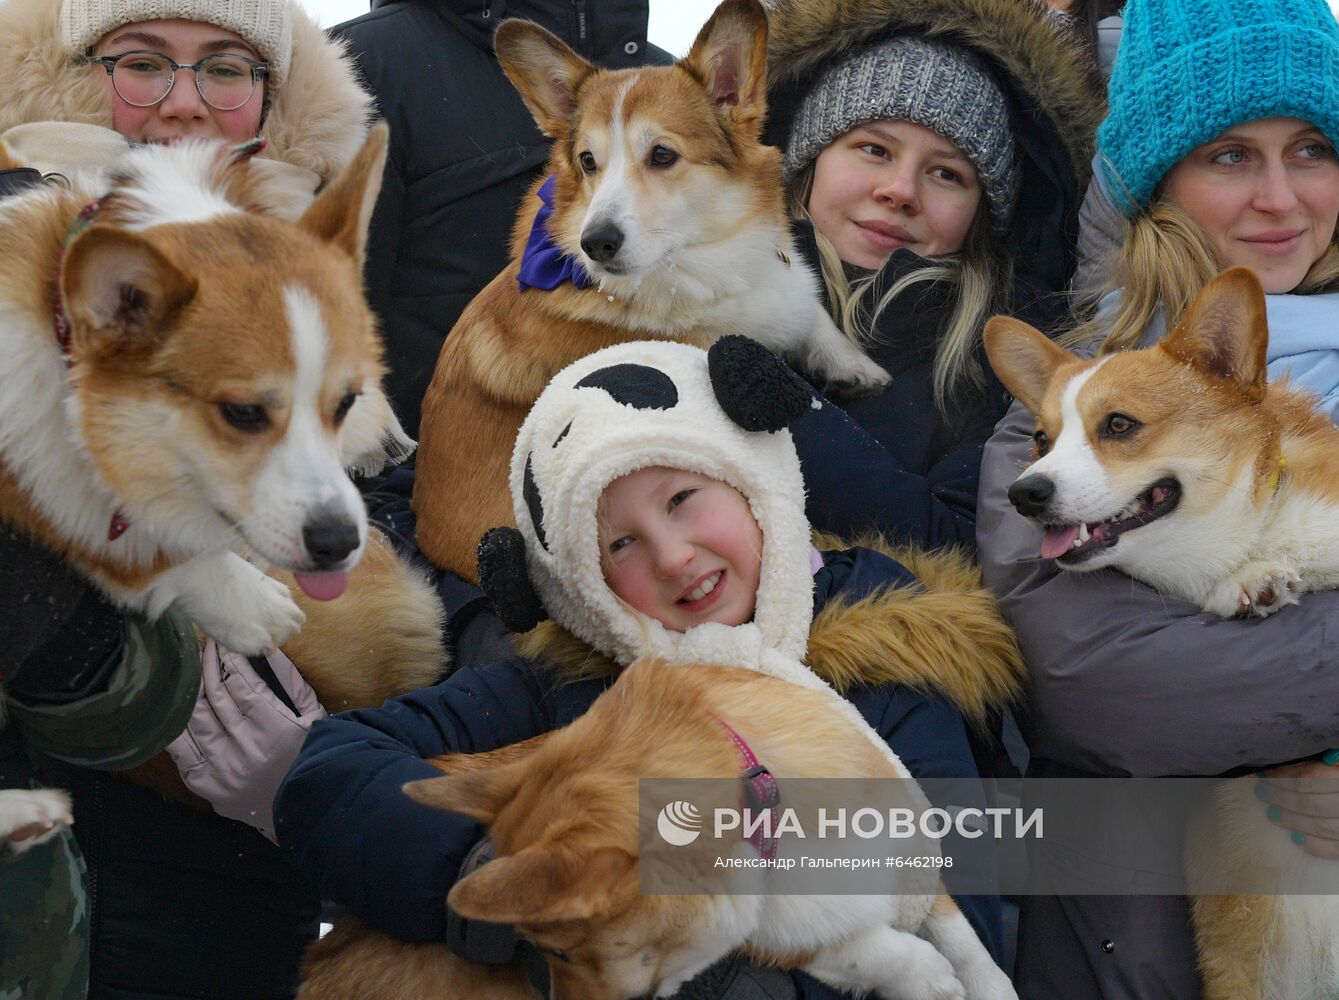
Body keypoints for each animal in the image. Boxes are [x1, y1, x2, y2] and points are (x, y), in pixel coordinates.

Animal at [396, 655, 1012, 1000]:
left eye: (561, 955)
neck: (767, 816)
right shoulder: (784, 940)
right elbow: (869, 953)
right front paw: (927, 979)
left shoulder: (919, 872)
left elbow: (966, 942)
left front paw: (988, 986)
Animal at [412, 0, 883, 583]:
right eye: (588, 161)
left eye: (662, 155)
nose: (595, 244)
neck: (698, 262)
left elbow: (810, 312)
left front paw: (857, 366)